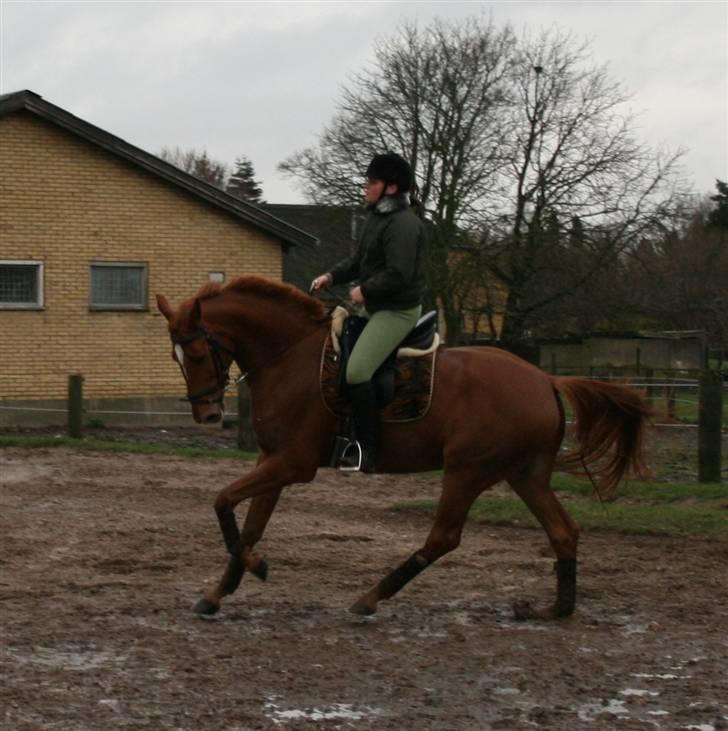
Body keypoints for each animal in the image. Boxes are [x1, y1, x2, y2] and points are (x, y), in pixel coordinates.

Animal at [156, 278, 652, 620]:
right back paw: (556, 609)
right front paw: (219, 593)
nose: (207, 415)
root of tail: (545, 379)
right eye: (176, 357)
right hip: (524, 474)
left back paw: (371, 598)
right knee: (563, 531)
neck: (289, 356)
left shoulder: (292, 464)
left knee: (443, 538)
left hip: (467, 470)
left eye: (196, 354)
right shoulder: (271, 461)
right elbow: (250, 526)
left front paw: (255, 569)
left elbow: (222, 501)